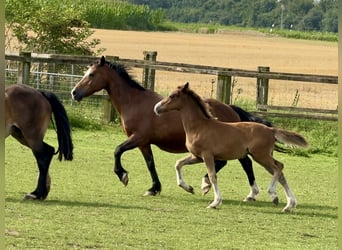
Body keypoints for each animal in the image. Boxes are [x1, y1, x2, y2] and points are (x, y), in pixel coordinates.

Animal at [71, 56, 276, 201]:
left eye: (91, 75)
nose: (74, 93)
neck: (134, 102)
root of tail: (230, 108)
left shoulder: (137, 138)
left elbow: (117, 150)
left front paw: (123, 175)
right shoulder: (144, 143)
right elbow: (150, 163)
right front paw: (154, 188)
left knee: (244, 164)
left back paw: (235, 190)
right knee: (234, 163)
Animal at [154, 83, 308, 212]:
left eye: (172, 96)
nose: (156, 108)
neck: (199, 127)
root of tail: (271, 130)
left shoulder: (207, 155)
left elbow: (212, 176)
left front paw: (215, 202)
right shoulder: (196, 156)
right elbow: (178, 164)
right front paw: (189, 188)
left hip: (261, 156)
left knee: (278, 167)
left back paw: (273, 194)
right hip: (264, 157)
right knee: (280, 172)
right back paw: (289, 205)